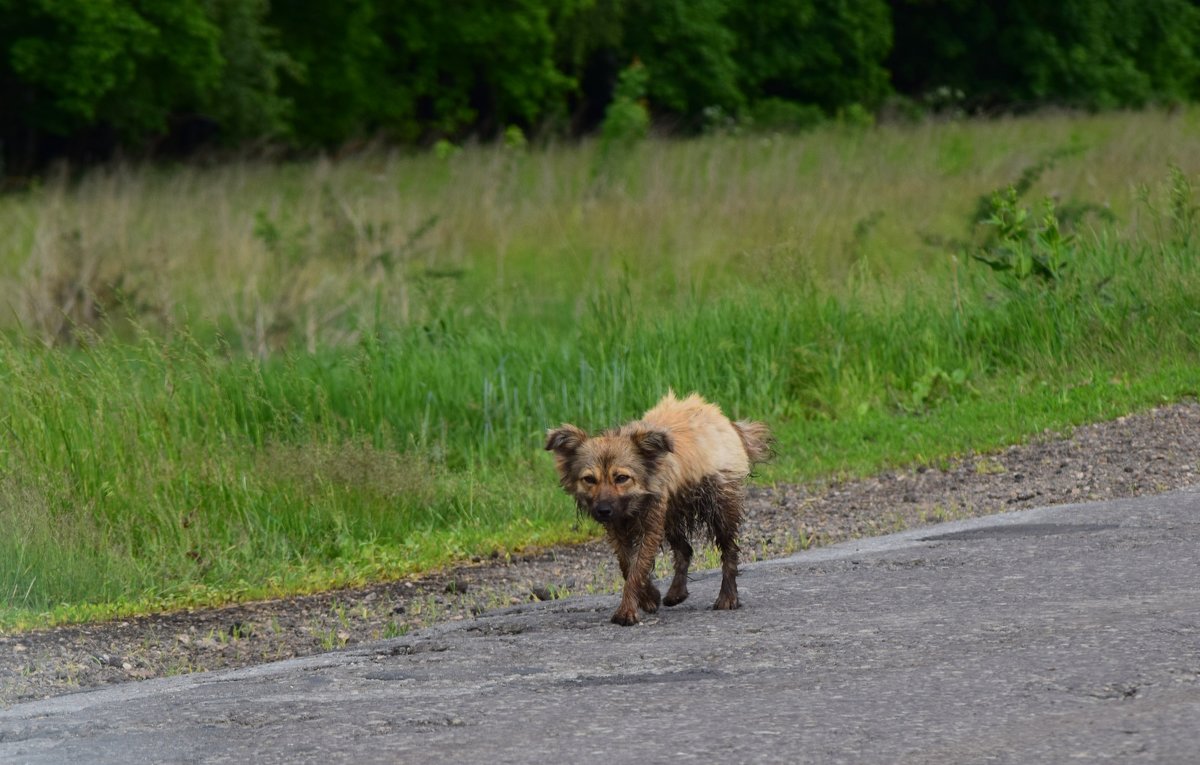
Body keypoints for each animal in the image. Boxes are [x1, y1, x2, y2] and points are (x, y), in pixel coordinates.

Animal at [544, 393, 768, 628]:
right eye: (589, 479)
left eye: (621, 478)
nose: (603, 510)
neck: (633, 504)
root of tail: (723, 419)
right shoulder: (618, 529)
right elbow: (628, 564)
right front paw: (649, 597)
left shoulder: (650, 526)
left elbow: (637, 568)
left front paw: (627, 611)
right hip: (671, 516)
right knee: (685, 550)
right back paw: (677, 592)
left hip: (720, 506)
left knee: (729, 551)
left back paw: (727, 596)